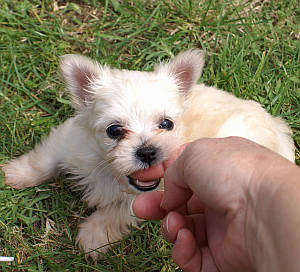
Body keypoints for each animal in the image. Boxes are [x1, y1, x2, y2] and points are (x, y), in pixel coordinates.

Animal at [2, 50, 296, 260]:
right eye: (114, 130)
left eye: (167, 124)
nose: (147, 151)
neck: (111, 172)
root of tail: (277, 127)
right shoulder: (68, 141)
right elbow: (43, 160)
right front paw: (15, 173)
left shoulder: (150, 197)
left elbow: (116, 213)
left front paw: (93, 236)